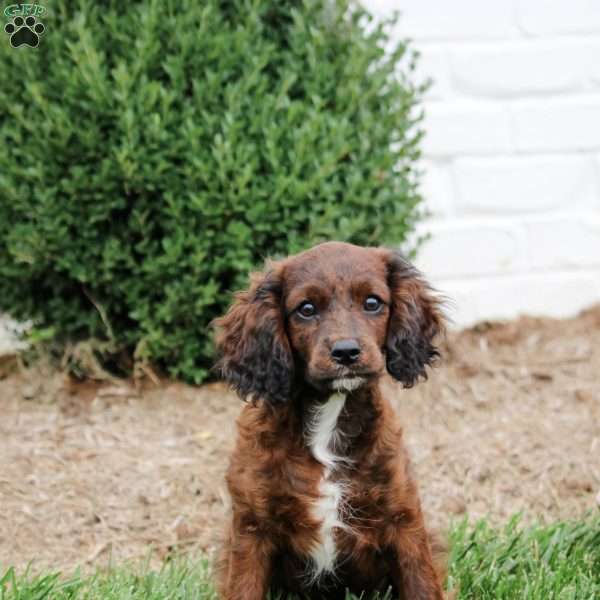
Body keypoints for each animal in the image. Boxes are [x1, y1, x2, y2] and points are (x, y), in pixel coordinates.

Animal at [216, 241, 446, 596]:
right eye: (306, 309)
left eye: (372, 303)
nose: (346, 352)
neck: (330, 415)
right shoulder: (251, 527)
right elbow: (243, 589)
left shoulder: (404, 520)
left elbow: (421, 586)